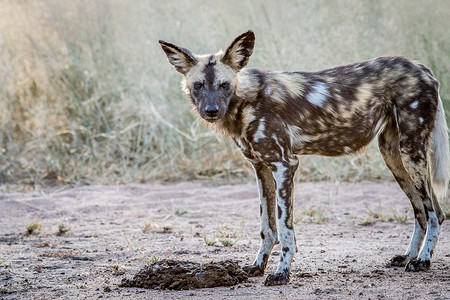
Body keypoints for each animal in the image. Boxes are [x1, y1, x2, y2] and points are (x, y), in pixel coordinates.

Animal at [160, 30, 448, 286]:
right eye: (198, 86)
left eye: (224, 85)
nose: (211, 110)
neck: (245, 102)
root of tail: (421, 67)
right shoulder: (261, 169)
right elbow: (267, 227)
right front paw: (258, 265)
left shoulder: (284, 165)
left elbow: (285, 229)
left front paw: (281, 273)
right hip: (393, 156)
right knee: (423, 211)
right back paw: (409, 256)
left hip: (411, 152)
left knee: (434, 212)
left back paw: (423, 260)